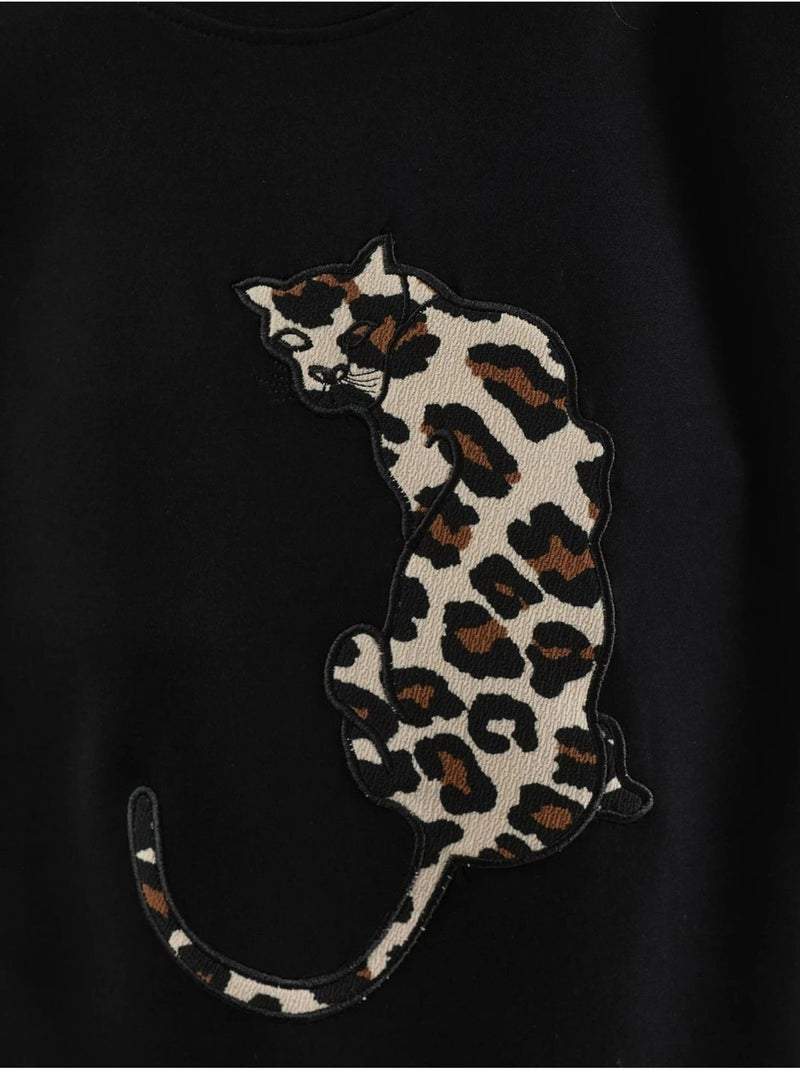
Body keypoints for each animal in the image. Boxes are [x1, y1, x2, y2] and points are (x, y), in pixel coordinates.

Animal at [128, 236, 652, 1018]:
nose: (321, 378)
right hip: (410, 675)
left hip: (377, 658)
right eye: (290, 343)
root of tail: (448, 829)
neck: (435, 338)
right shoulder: (540, 441)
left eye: (348, 334)